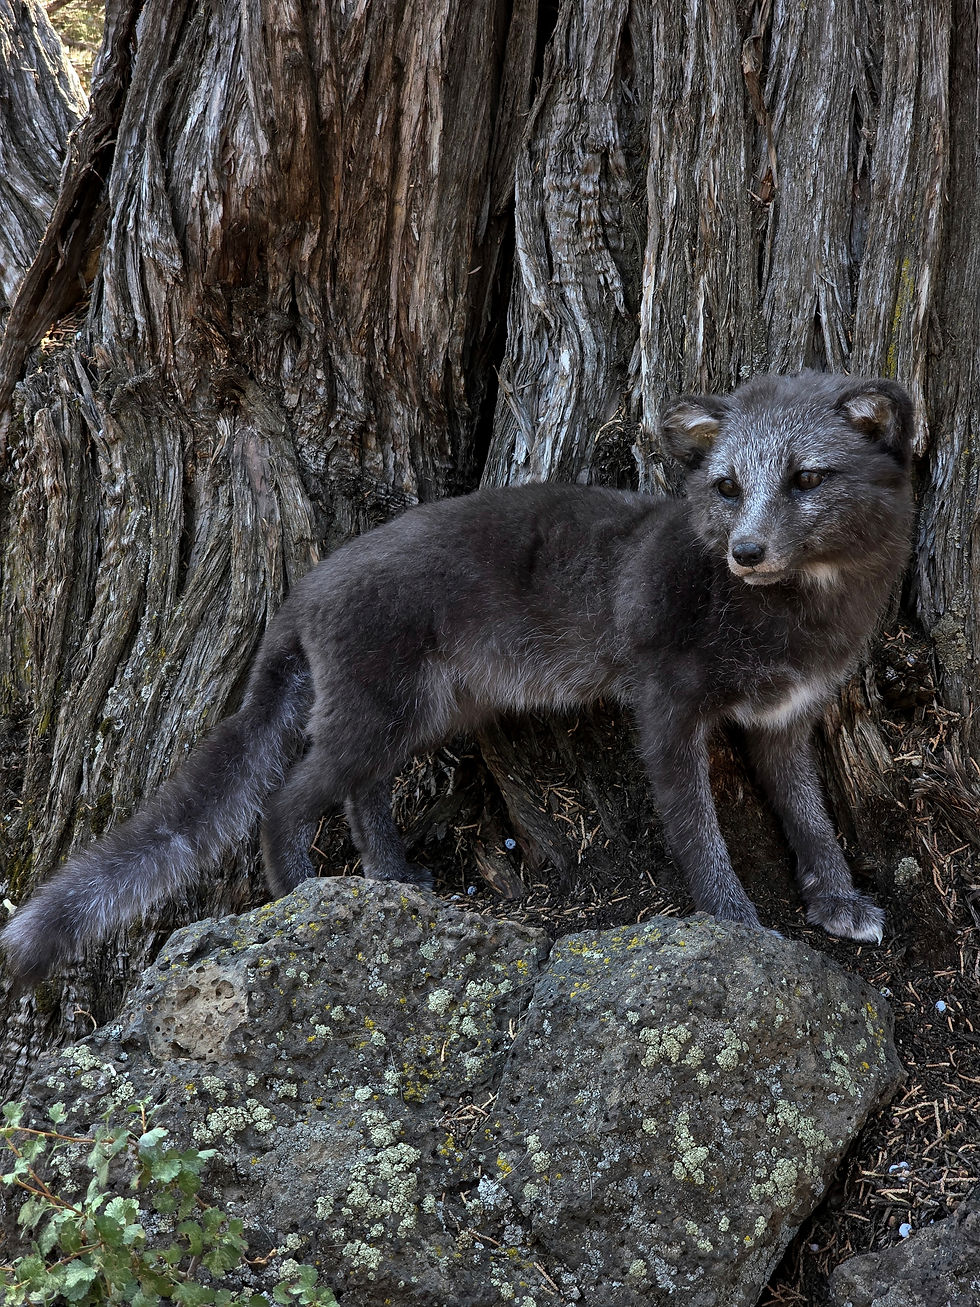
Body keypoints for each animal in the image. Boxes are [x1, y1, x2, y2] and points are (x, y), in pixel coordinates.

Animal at [1, 371, 914, 984]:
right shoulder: (665, 710)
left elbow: (810, 816)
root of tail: (304, 589)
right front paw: (736, 925)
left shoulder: (786, 716)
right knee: (286, 799)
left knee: (359, 796)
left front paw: (837, 900)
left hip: (414, 716)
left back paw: (394, 880)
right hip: (379, 715)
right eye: (727, 487)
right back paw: (301, 898)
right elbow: (698, 832)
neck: (799, 619)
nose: (746, 552)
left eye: (807, 477)